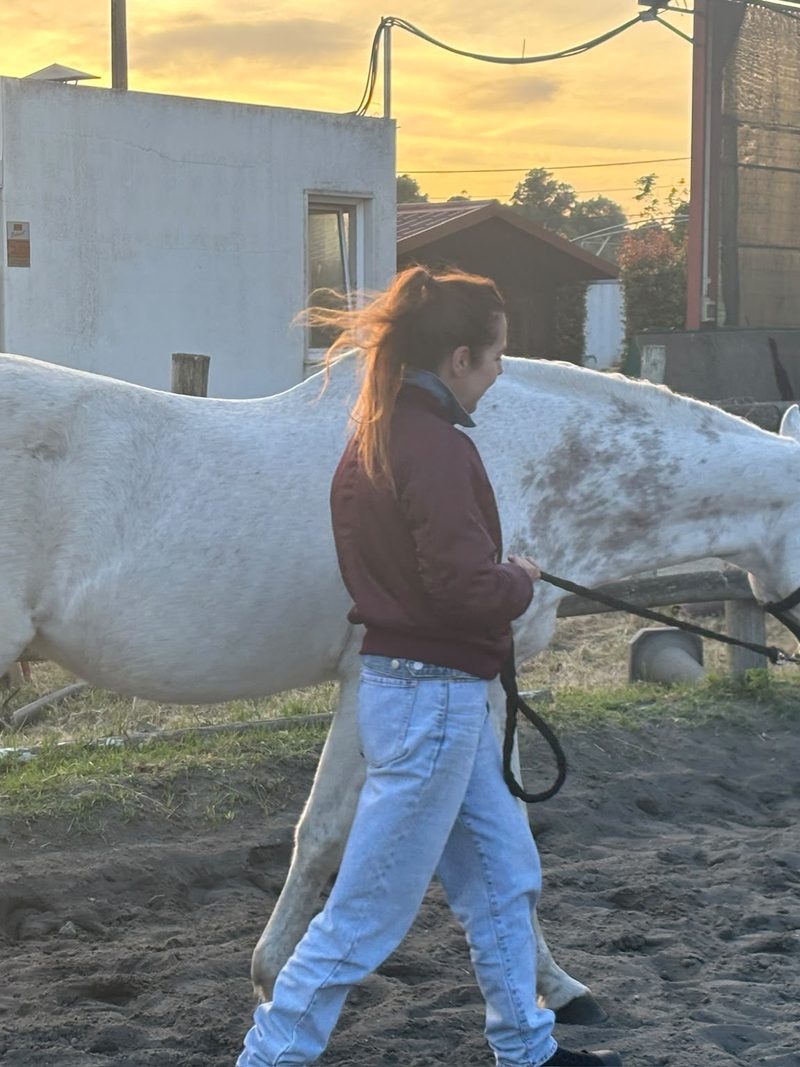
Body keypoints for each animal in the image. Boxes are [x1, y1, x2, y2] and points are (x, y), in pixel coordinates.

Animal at [1, 350, 799, 1024]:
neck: (524, 461)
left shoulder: (479, 683)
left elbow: (495, 840)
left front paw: (556, 985)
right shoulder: (387, 675)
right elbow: (332, 833)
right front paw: (275, 977)